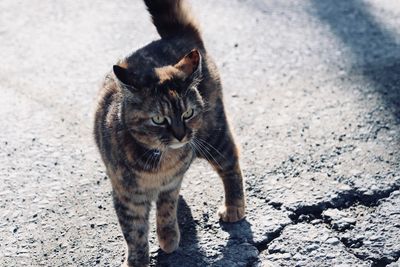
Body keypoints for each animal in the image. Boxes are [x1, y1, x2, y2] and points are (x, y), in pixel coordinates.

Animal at [94, 0, 245, 266]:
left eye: (187, 113)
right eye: (158, 119)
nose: (181, 135)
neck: (160, 161)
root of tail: (177, 35)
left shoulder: (171, 183)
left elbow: (166, 210)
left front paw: (168, 238)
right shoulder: (127, 195)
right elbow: (134, 232)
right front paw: (138, 259)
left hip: (214, 135)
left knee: (231, 163)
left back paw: (234, 206)